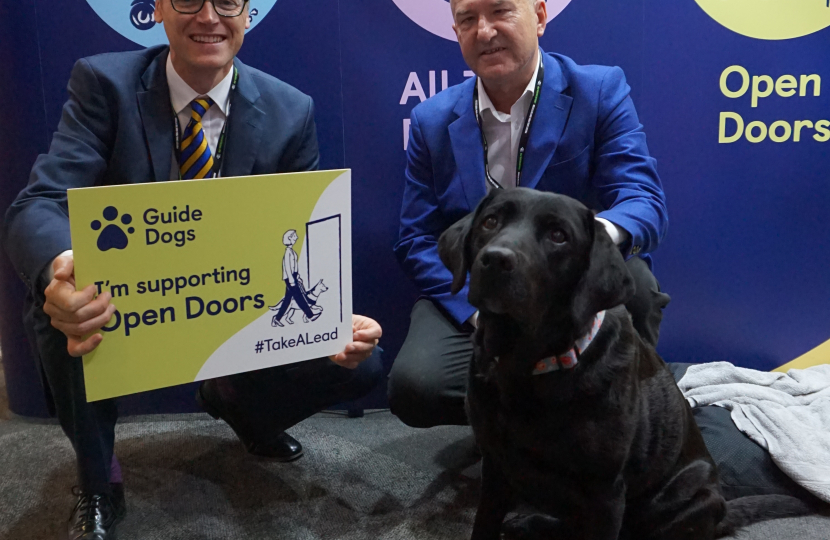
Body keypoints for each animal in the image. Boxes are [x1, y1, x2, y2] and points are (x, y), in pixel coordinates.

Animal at [438, 189, 816, 540]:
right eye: (490, 222)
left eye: (558, 235)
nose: (495, 260)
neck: (525, 365)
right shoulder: (496, 466)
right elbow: (483, 524)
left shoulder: (605, 493)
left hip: (688, 496)